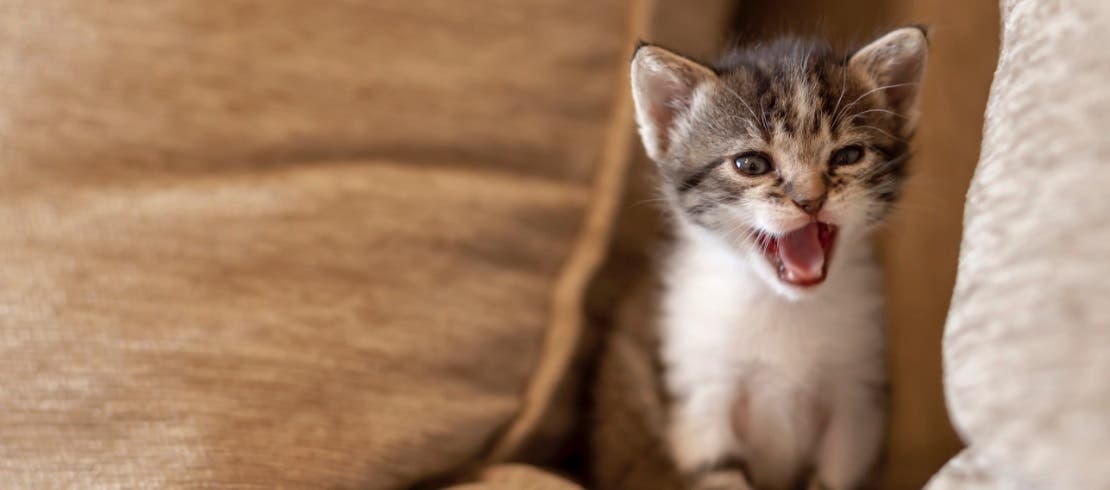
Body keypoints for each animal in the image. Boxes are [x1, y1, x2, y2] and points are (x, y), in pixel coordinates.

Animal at [634, 27, 927, 488]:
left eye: (848, 156)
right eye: (751, 163)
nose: (810, 201)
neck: (782, 306)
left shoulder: (859, 393)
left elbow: (834, 475)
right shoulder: (698, 394)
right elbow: (720, 472)